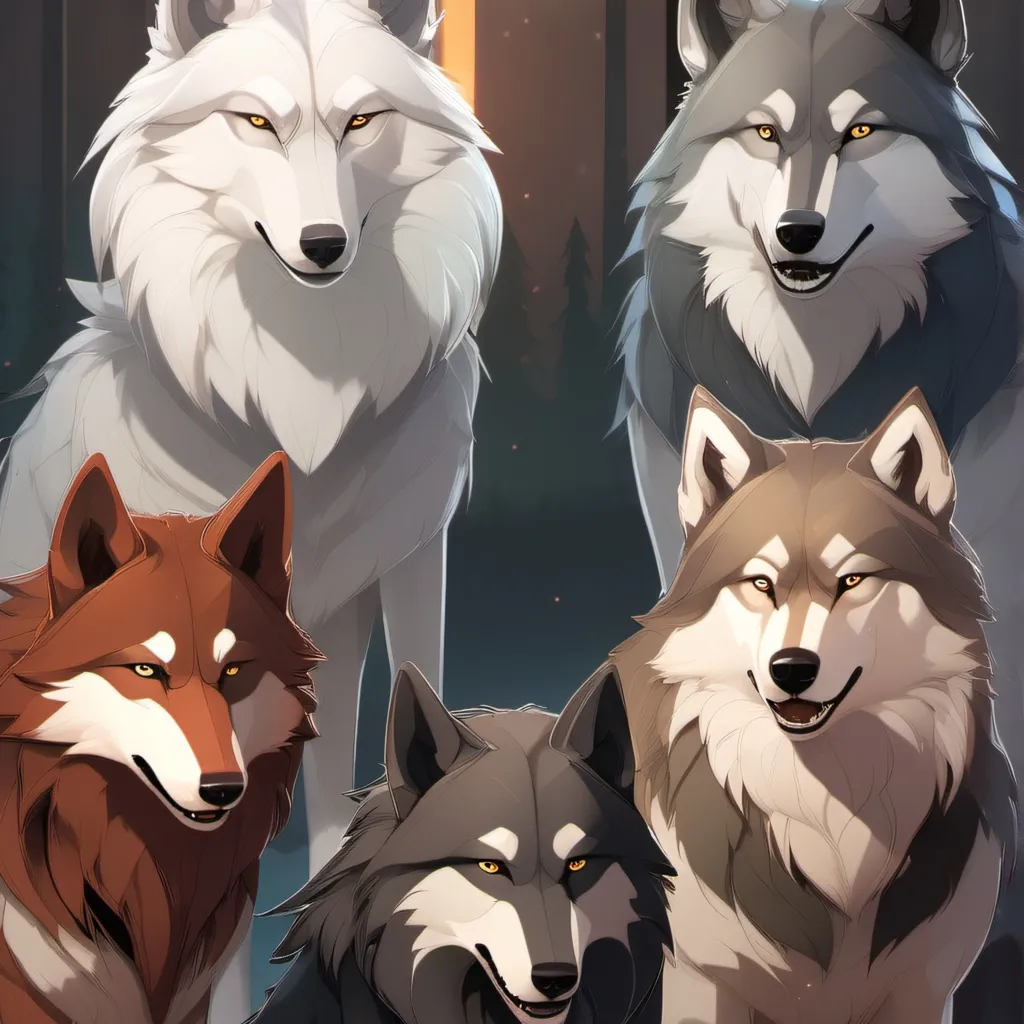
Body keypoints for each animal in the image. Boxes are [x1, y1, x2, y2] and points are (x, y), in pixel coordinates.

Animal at [604, 385, 1017, 1023]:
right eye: (760, 583)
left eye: (853, 580)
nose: (792, 668)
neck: (825, 802)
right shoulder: (704, 981)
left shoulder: (923, 987)